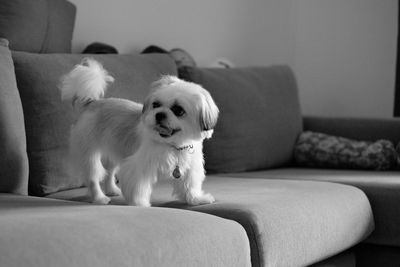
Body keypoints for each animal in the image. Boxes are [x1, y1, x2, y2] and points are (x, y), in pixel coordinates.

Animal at [60, 58, 219, 207]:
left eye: (178, 110)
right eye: (156, 104)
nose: (159, 114)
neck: (171, 145)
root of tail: (93, 103)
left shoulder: (190, 168)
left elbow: (190, 187)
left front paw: (196, 199)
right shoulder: (138, 167)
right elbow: (138, 188)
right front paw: (139, 204)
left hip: (114, 153)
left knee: (109, 173)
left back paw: (112, 190)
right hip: (89, 155)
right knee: (93, 178)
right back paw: (100, 198)